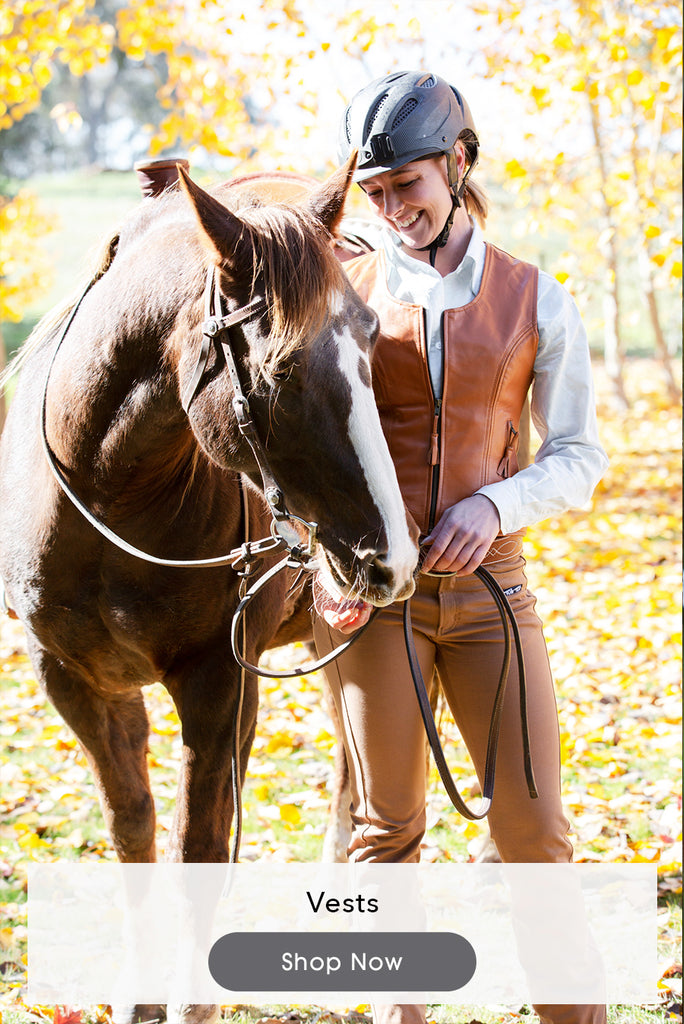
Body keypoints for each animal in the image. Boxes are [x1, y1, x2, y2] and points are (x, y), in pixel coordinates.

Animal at [0, 155, 419, 995]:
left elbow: (201, 846)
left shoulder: (220, 684)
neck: (109, 496)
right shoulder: (75, 681)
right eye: (281, 372)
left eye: (372, 341)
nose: (388, 557)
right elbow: (133, 830)